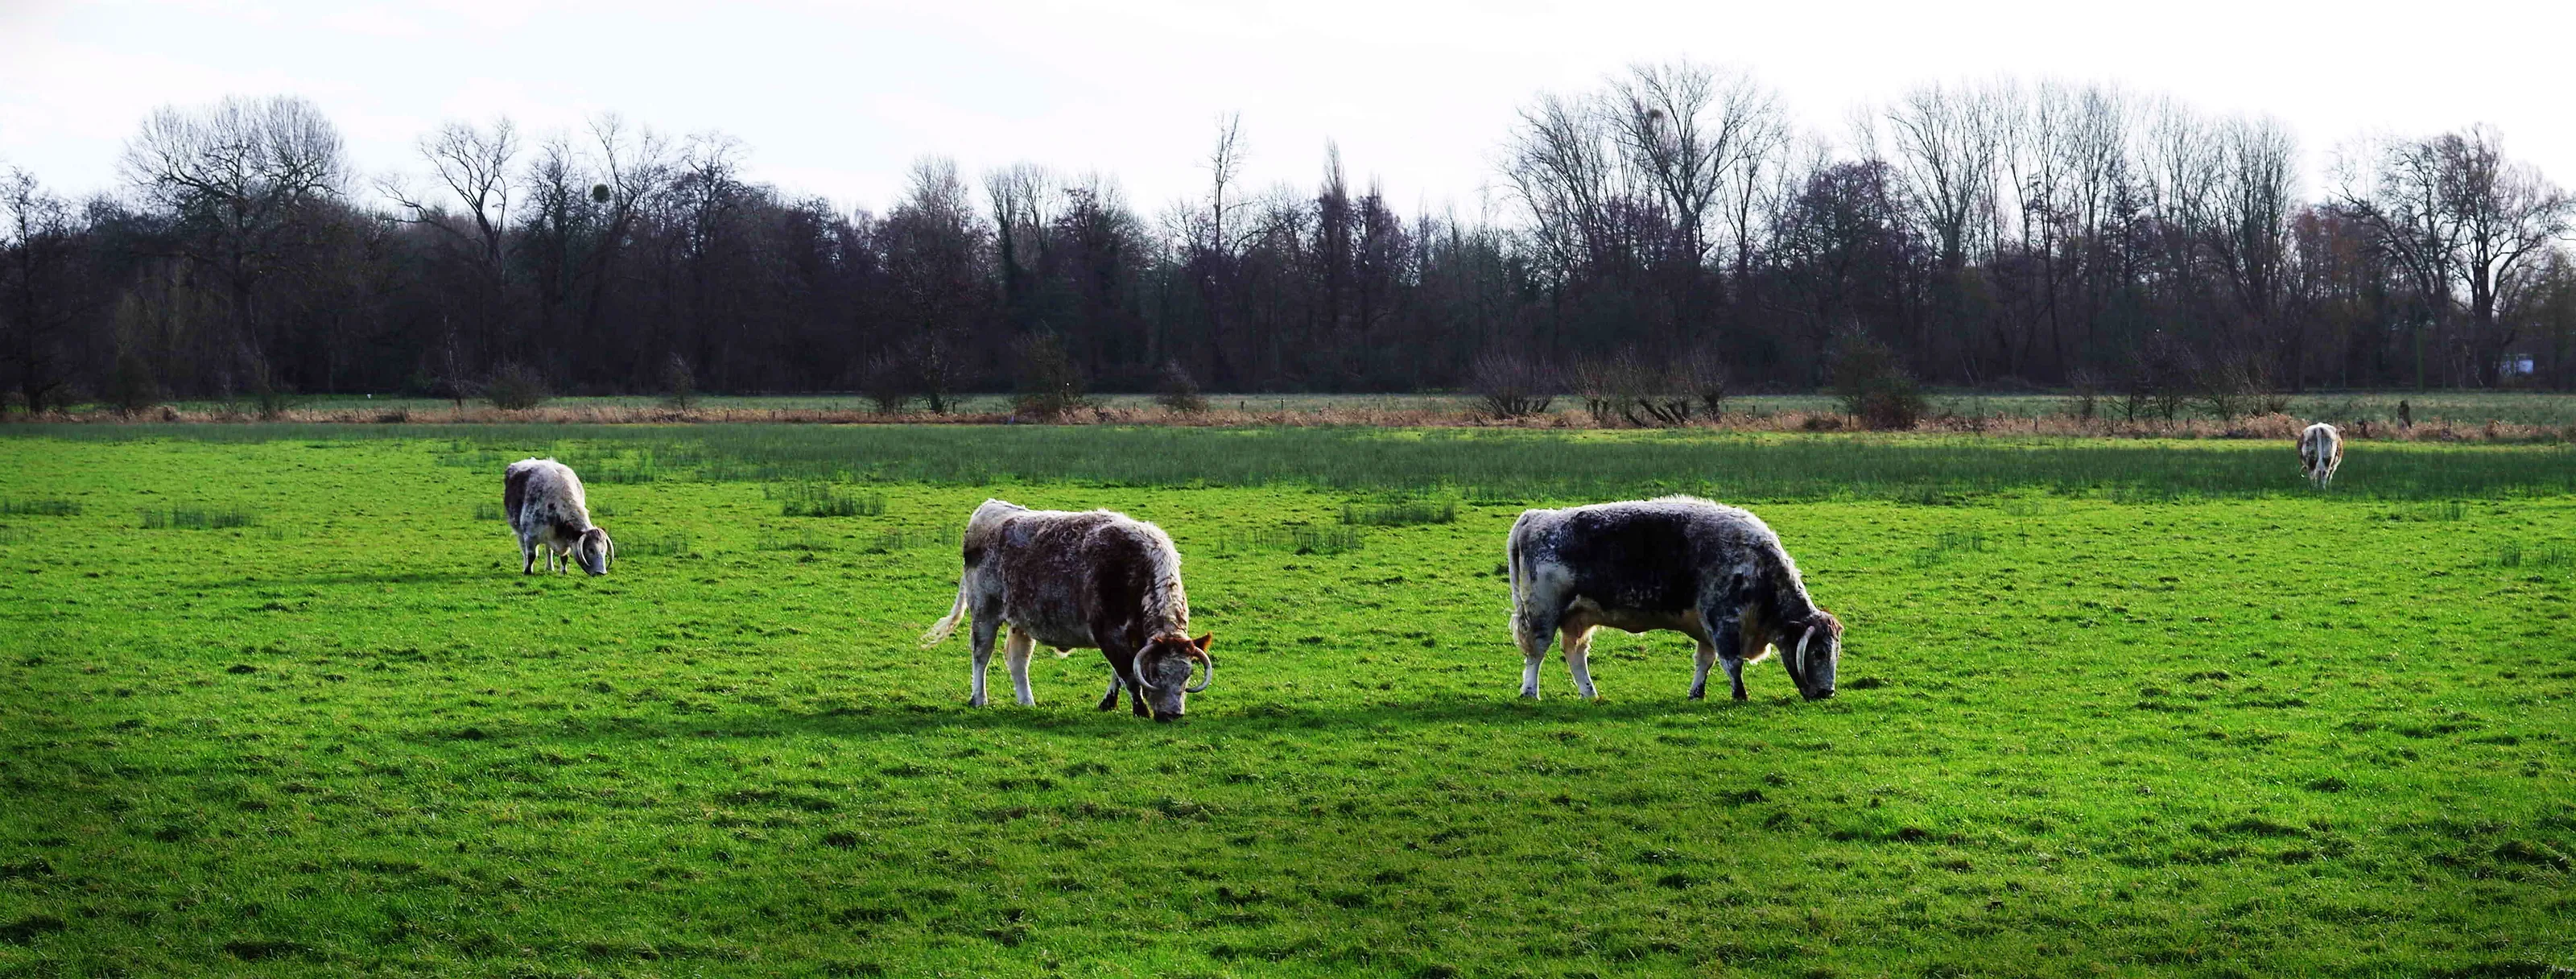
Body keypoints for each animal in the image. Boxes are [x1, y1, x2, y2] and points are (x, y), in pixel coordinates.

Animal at [503, 458, 614, 575]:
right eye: (591, 550)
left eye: (604, 550)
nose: (601, 572)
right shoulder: (529, 536)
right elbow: (531, 556)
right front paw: (528, 571)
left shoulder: (564, 538)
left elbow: (564, 557)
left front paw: (564, 571)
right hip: (519, 532)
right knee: (524, 552)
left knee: (548, 550)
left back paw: (549, 567)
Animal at [919, 499, 1214, 721]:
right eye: (1155, 673)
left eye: (1187, 674)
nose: (1173, 714)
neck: (1135, 570)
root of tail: (990, 508)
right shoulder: (1109, 633)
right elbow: (1128, 675)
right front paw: (1139, 710)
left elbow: (1119, 672)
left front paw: (1109, 702)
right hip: (984, 613)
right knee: (981, 654)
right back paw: (979, 698)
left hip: (1021, 621)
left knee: (1018, 660)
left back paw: (1027, 702)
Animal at [1507, 496, 1842, 702]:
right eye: (1819, 652)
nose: (1828, 692)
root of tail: (1536, 516)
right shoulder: (1724, 621)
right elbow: (1731, 662)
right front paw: (1740, 696)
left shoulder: (1706, 628)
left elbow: (1705, 661)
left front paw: (1696, 693)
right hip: (1543, 614)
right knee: (1536, 653)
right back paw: (1530, 692)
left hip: (1578, 619)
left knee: (1575, 654)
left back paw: (1590, 694)